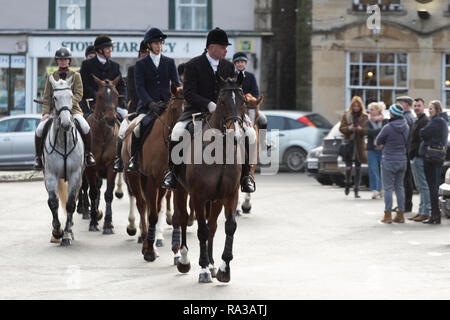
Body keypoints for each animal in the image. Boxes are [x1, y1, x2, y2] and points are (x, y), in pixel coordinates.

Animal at [121, 83, 185, 260]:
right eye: (174, 109)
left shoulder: (164, 181)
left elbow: (157, 209)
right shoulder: (150, 179)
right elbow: (152, 214)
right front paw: (149, 251)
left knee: (152, 205)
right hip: (134, 176)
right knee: (142, 205)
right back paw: (143, 237)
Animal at [172, 74, 250, 282]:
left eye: (243, 102)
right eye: (221, 101)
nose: (236, 135)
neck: (219, 152)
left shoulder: (230, 195)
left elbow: (229, 226)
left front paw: (224, 268)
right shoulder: (198, 196)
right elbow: (202, 230)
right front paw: (203, 268)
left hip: (216, 200)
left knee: (213, 225)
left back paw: (213, 263)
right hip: (181, 190)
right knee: (183, 218)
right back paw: (184, 260)